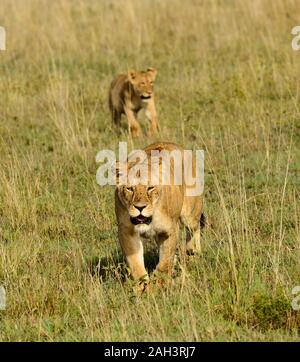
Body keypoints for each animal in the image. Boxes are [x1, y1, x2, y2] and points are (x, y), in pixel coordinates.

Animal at [115, 141, 204, 286]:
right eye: (130, 189)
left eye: (150, 188)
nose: (140, 207)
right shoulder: (126, 231)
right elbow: (136, 264)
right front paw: (144, 287)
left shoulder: (170, 230)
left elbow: (165, 261)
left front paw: (159, 283)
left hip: (190, 213)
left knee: (195, 228)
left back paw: (193, 254)